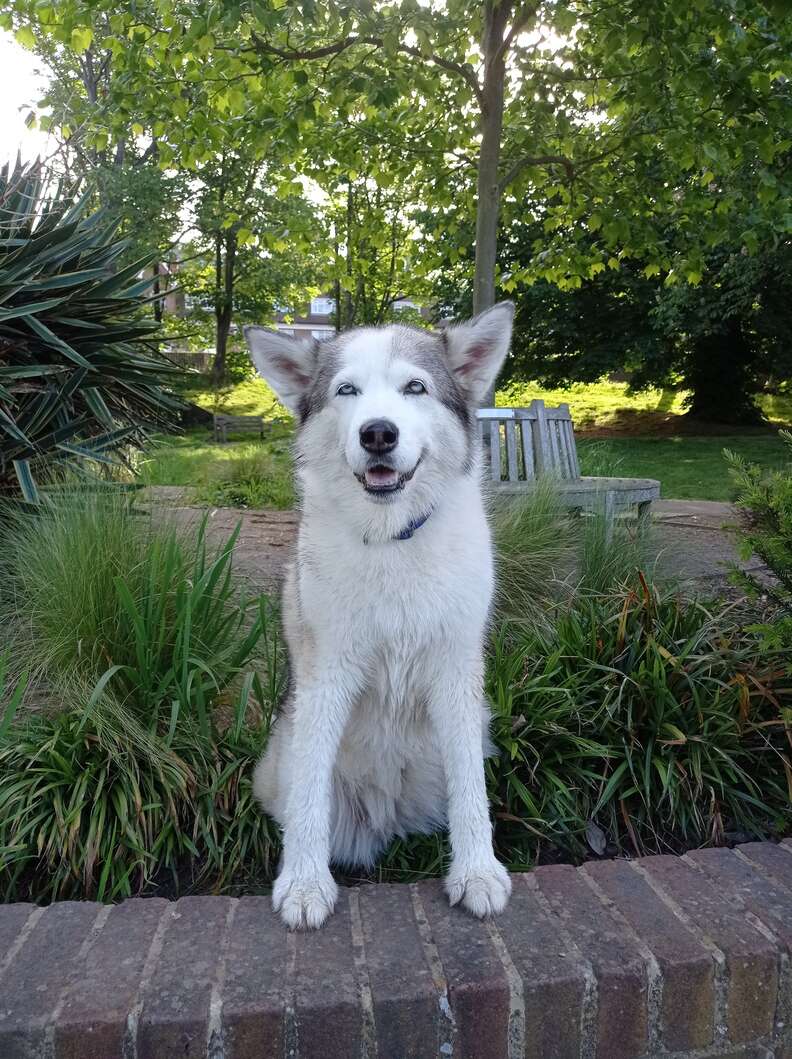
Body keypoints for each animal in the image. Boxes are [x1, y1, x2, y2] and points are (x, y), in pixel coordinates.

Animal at [245, 302, 514, 931]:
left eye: (415, 387)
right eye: (347, 390)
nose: (377, 433)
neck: (394, 540)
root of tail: (388, 812)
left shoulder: (457, 672)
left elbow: (472, 790)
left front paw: (476, 871)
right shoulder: (327, 672)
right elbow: (309, 796)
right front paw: (303, 883)